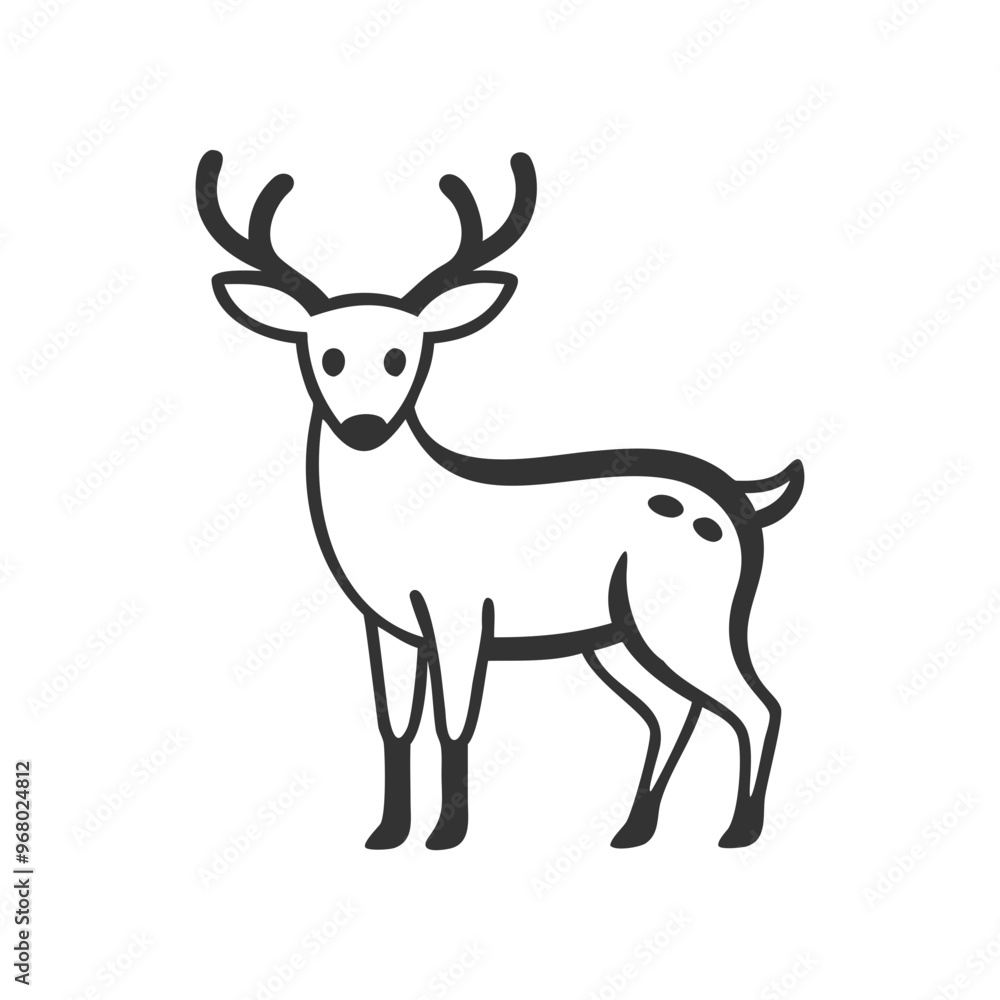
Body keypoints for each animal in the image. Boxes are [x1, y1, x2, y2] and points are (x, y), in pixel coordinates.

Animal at [196, 149, 804, 851]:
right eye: (325, 355)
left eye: (402, 356)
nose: (365, 426)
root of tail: (743, 500)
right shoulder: (387, 627)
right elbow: (393, 723)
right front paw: (387, 830)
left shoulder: (462, 616)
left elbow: (455, 722)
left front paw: (446, 833)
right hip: (617, 633)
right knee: (675, 710)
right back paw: (635, 828)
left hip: (696, 614)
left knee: (755, 703)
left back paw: (740, 829)